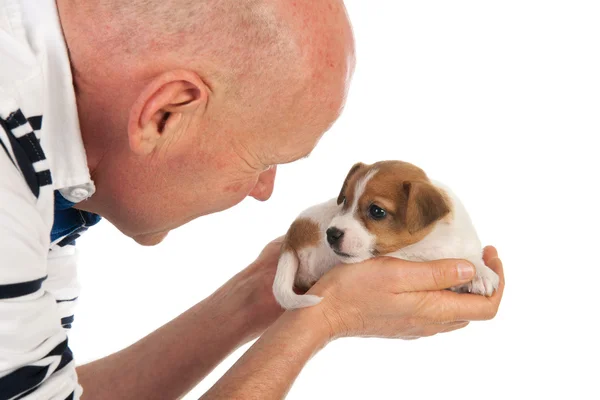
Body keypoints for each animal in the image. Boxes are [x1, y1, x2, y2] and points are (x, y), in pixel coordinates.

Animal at [274, 159, 500, 310]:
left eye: (377, 211)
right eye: (345, 200)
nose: (331, 234)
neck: (436, 237)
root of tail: (292, 238)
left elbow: (472, 258)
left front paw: (480, 273)